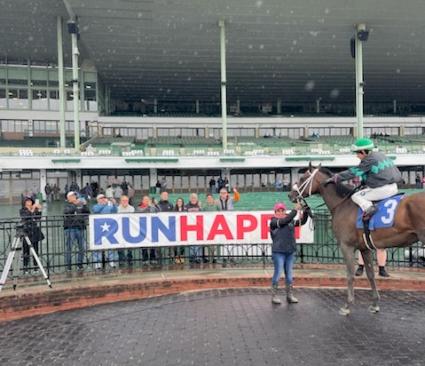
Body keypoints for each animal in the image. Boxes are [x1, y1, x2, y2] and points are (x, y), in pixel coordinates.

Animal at [288, 164, 424, 316]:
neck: (342, 204)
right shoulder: (365, 248)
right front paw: (375, 304)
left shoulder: (346, 246)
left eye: (302, 178)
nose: (290, 195)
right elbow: (370, 274)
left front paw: (347, 305)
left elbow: (350, 275)